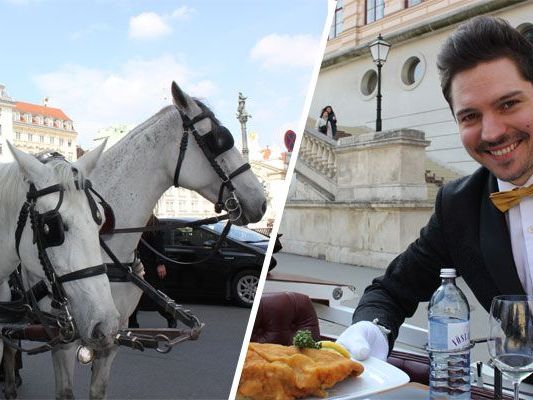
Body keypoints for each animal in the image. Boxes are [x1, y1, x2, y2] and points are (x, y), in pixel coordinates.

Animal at [16, 82, 266, 400]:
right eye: (219, 139)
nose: (261, 201)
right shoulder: (62, 338)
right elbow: (66, 392)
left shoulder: (112, 333)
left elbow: (98, 390)